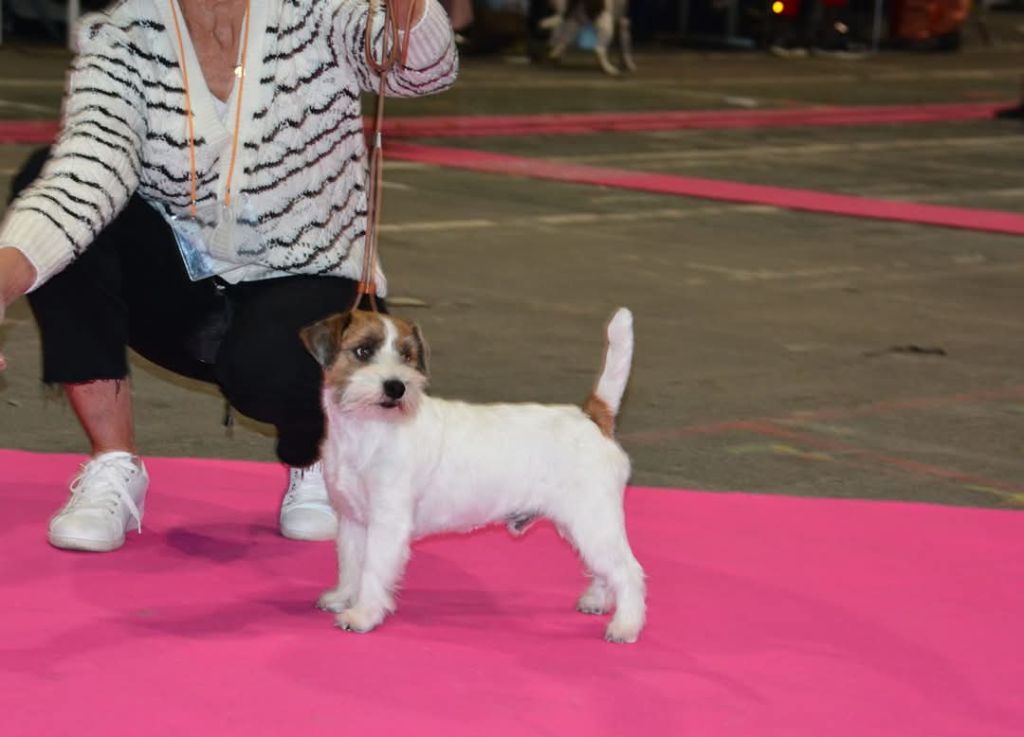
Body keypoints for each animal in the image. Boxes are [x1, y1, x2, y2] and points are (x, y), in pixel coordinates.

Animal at [300, 307, 646, 643]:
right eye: (363, 350)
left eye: (407, 356)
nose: (396, 387)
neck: (369, 431)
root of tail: (592, 417)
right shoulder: (353, 520)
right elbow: (350, 564)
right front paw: (343, 597)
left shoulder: (387, 523)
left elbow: (372, 570)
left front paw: (363, 615)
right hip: (582, 525)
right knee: (604, 569)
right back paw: (597, 601)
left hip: (594, 520)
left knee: (628, 571)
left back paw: (625, 625)